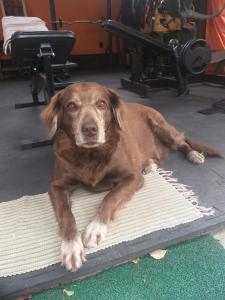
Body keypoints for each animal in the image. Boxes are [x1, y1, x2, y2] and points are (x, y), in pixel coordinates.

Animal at [40, 81, 221, 272]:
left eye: (101, 104)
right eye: (71, 106)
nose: (90, 129)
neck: (90, 154)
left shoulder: (133, 177)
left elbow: (110, 198)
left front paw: (96, 228)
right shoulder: (56, 185)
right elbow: (65, 214)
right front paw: (71, 246)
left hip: (163, 128)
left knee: (183, 142)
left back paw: (194, 154)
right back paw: (149, 165)